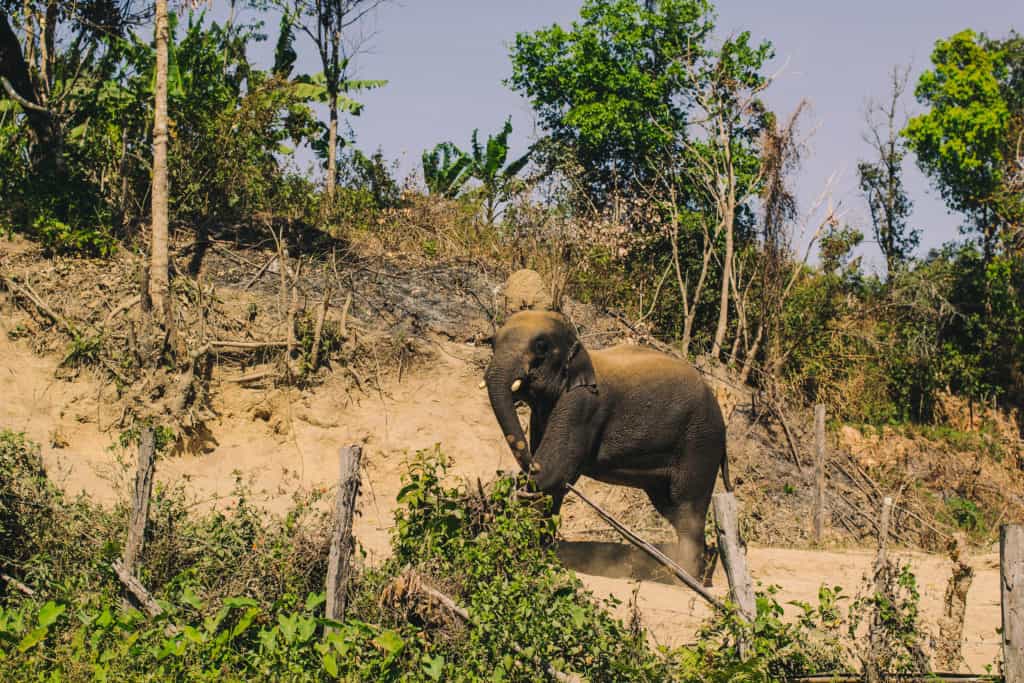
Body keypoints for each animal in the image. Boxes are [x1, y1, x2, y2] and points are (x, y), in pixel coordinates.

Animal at [485, 309, 733, 581]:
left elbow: (556, 473)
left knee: (688, 508)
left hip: (700, 443)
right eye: (492, 342)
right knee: (672, 508)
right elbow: (554, 486)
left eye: (541, 346)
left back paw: (684, 578)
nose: (529, 465)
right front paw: (541, 553)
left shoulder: (582, 407)